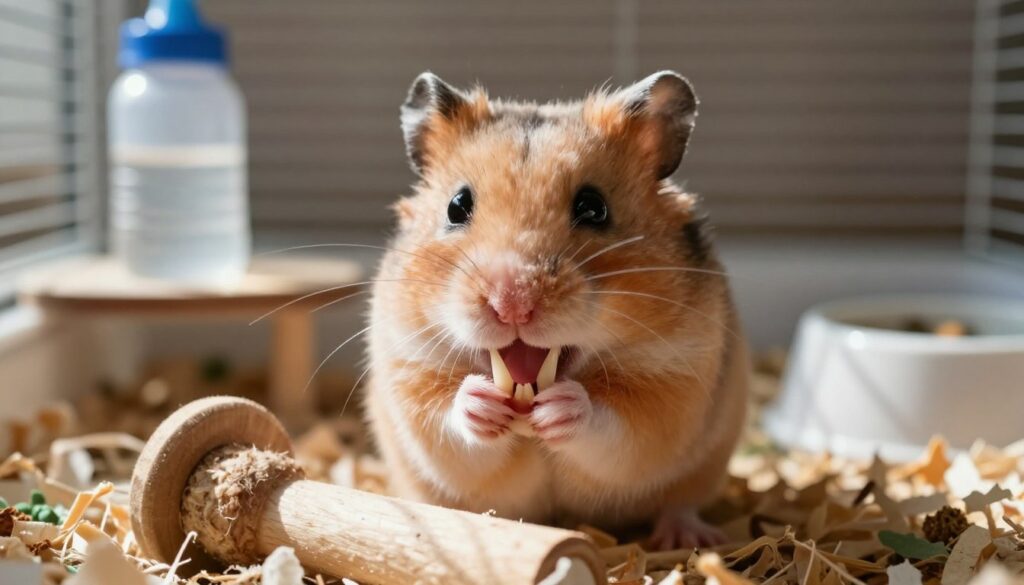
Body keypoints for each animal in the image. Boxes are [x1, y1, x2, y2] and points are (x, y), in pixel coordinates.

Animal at [365, 70, 749, 550]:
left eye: (593, 207)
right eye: (457, 205)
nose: (512, 303)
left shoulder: (675, 378)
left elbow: (616, 426)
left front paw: (561, 407)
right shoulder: (410, 366)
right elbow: (447, 423)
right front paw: (482, 402)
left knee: (680, 502)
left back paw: (686, 539)